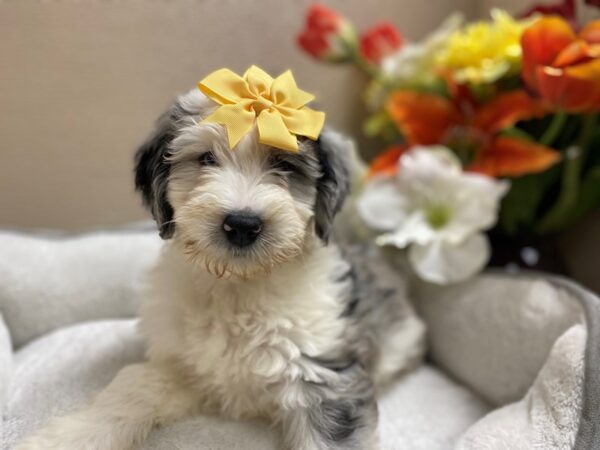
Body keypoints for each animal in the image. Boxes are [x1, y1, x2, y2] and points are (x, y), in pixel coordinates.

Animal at [15, 86, 426, 448]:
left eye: (283, 164)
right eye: (206, 159)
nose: (242, 224)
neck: (238, 286)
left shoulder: (326, 378)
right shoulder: (182, 365)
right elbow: (134, 386)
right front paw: (65, 438)